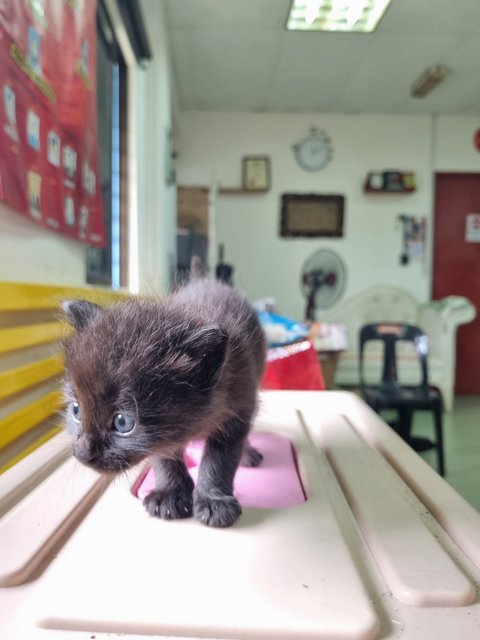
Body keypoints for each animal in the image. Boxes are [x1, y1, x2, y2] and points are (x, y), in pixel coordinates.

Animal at [61, 278, 266, 524]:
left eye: (122, 422)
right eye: (76, 410)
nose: (82, 453)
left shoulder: (237, 412)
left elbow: (219, 462)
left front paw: (213, 501)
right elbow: (163, 457)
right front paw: (169, 494)